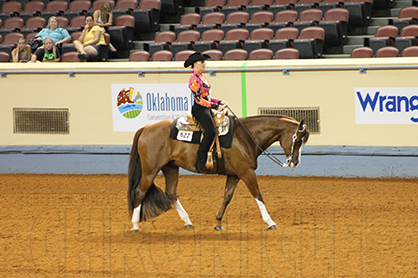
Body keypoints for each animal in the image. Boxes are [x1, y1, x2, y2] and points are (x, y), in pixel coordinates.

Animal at [129, 114, 308, 230]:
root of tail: (145, 128)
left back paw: (187, 221)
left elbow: (227, 197)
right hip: (150, 170)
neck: (245, 136)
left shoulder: (234, 175)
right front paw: (270, 222)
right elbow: (258, 195)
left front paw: (218, 222)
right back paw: (135, 225)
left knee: (171, 193)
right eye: (298, 140)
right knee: (139, 192)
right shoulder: (246, 172)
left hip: (170, 168)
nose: (295, 162)